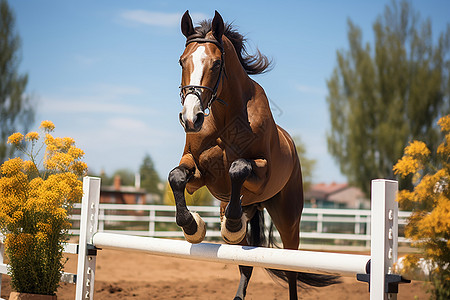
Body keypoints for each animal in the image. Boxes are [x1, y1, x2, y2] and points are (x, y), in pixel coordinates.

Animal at [169, 10, 338, 298]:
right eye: (182, 61)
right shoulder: (198, 170)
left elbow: (239, 167)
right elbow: (177, 177)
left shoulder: (261, 173)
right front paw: (192, 227)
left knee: (291, 267)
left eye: (216, 64)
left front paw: (230, 225)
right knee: (245, 261)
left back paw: (234, 226)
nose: (191, 118)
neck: (225, 119)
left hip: (288, 219)